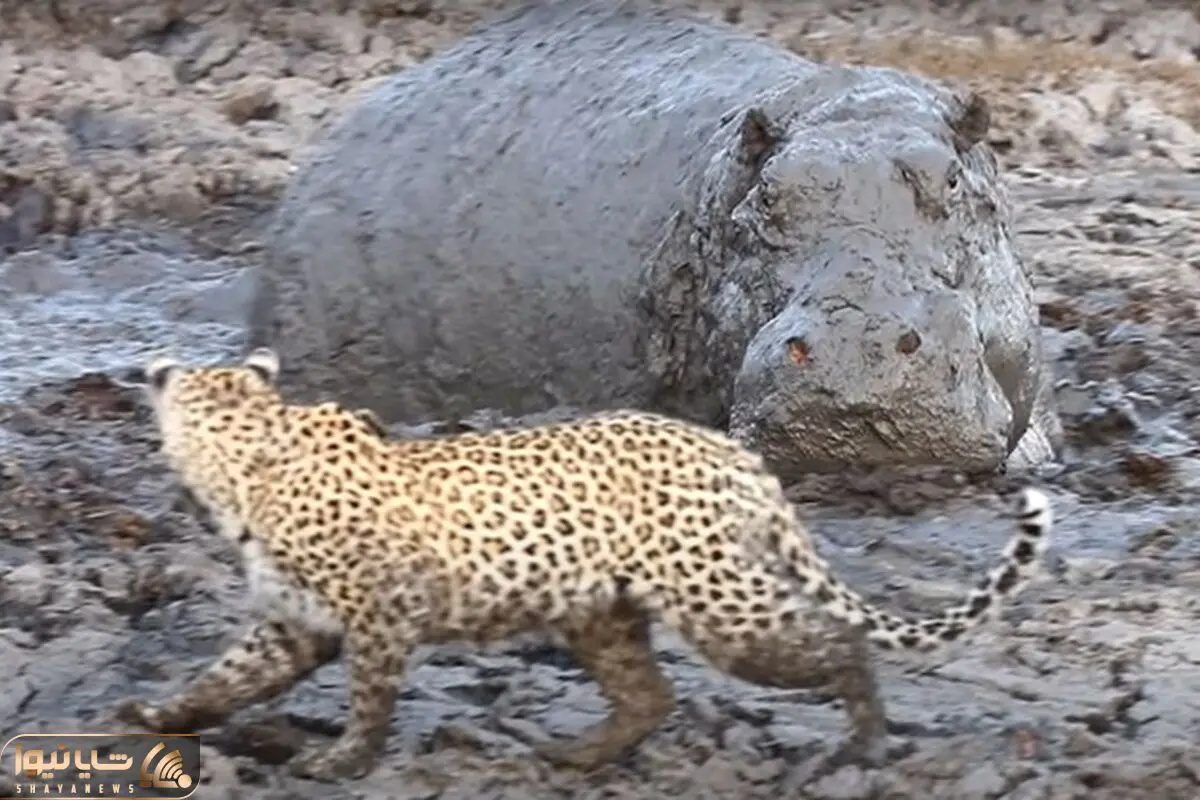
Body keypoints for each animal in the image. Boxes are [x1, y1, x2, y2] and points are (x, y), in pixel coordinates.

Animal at [115, 347, 1053, 783]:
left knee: (834, 643)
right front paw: (161, 714)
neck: (246, 457)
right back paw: (575, 755)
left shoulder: (379, 613)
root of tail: (734, 454)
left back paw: (860, 741)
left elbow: (370, 697)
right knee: (649, 693)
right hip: (599, 611)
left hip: (719, 601)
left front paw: (341, 761)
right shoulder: (292, 621)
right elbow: (228, 675)